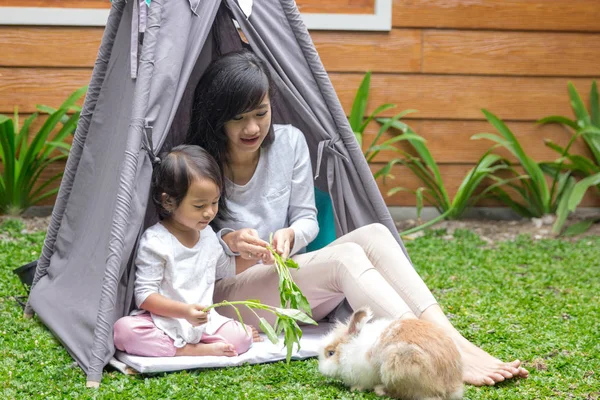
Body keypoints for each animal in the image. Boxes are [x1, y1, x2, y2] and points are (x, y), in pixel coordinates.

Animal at [318, 308, 464, 398]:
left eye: (330, 353)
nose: (321, 370)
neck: (350, 348)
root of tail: (452, 385)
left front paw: (355, 389)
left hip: (398, 367)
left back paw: (379, 390)